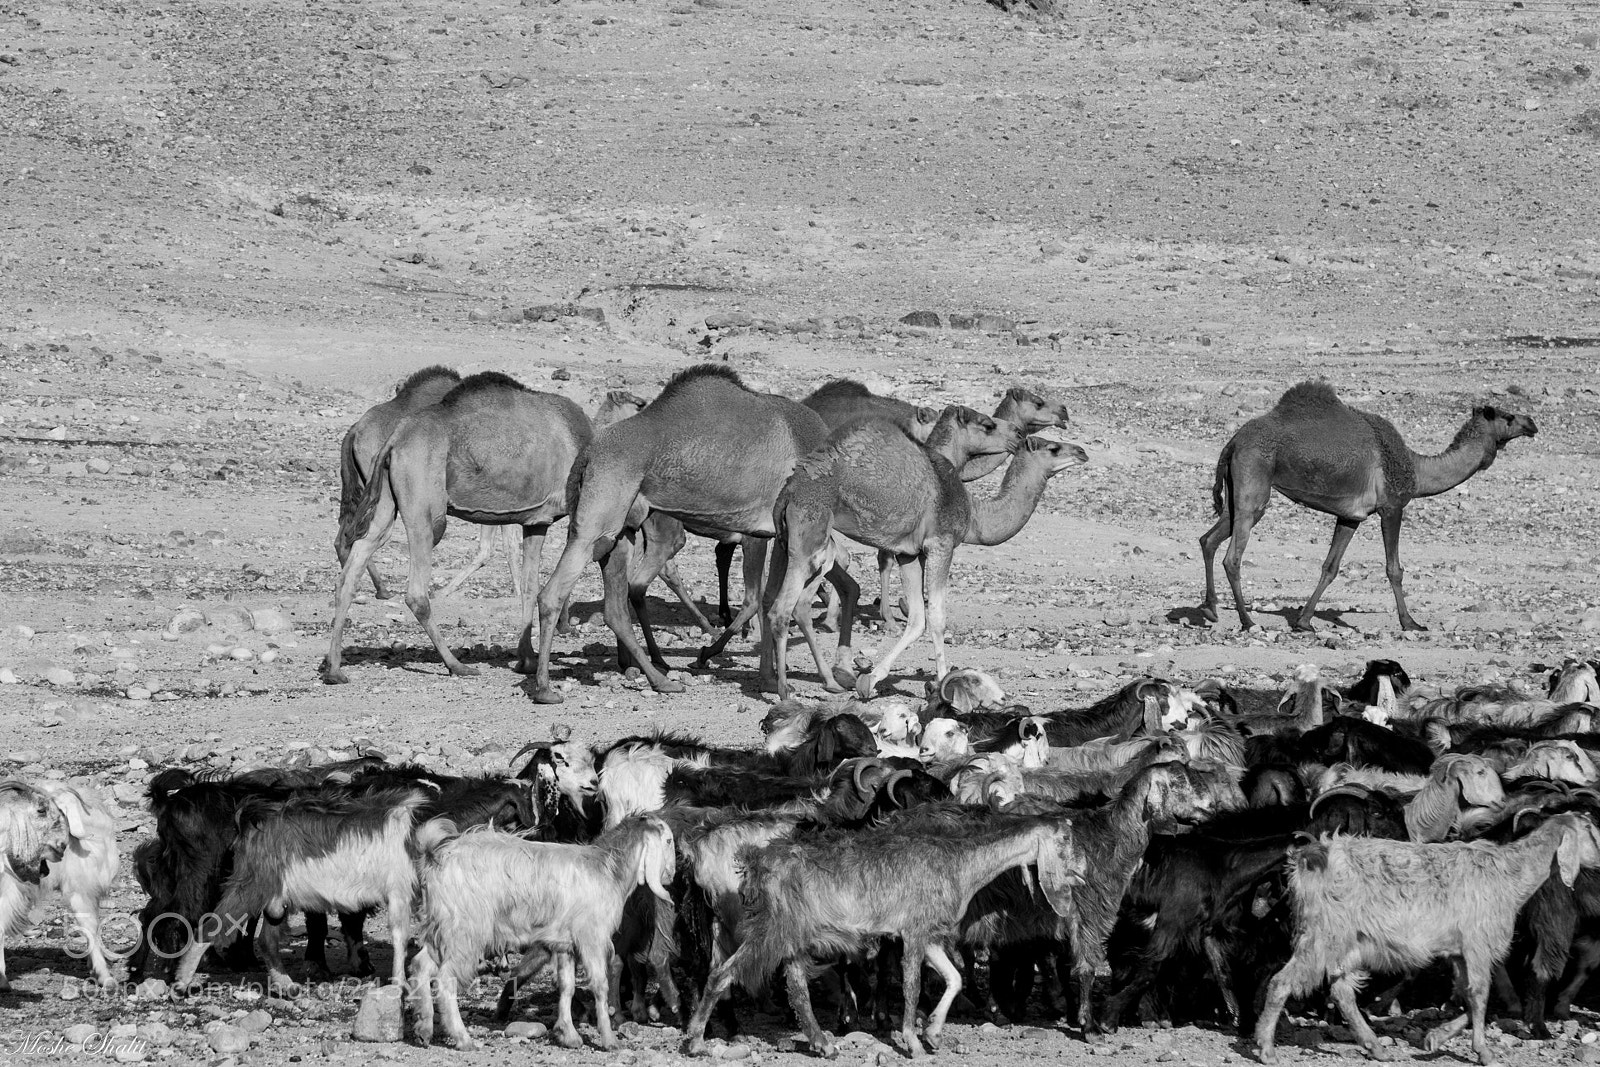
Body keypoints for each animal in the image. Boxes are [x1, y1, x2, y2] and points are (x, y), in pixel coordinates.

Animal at [323, 374, 709, 684]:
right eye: (641, 403)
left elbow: (529, 585)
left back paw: (334, 668)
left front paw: (526, 659)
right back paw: (456, 665)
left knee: (350, 570)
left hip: (386, 502)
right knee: (417, 590)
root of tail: (394, 439)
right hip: (425, 508)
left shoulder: (535, 520)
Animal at [523, 364, 863, 703]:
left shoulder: (776, 536)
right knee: (553, 594)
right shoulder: (770, 532)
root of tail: (588, 453)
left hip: (623, 530)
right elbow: (760, 600)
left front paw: (769, 679)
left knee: (616, 608)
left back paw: (658, 678)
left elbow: (767, 600)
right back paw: (545, 688)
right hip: (599, 521)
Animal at [762, 409, 1055, 700]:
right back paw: (789, 689)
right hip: (813, 540)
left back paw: (793, 679)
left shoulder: (909, 553)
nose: (1019, 434)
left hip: (785, 542)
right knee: (786, 608)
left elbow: (917, 618)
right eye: (987, 425)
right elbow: (935, 617)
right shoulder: (939, 544)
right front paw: (941, 683)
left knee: (776, 599)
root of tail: (787, 494)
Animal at [1199, 380, 1538, 633]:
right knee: (1233, 556)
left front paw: (1304, 622)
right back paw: (1247, 621)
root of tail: (1232, 442)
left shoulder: (1351, 516)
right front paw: (1411, 623)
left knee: (1209, 539)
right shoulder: (1392, 506)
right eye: (1508, 417)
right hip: (1254, 480)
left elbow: (1330, 567)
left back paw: (1211, 609)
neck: (1416, 468)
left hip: (1239, 492)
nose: (1532, 423)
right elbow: (1394, 569)